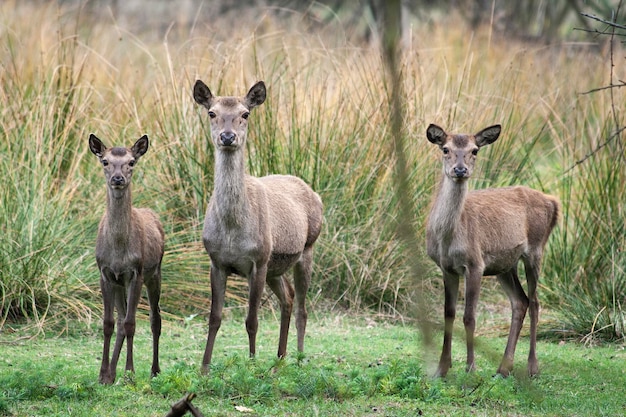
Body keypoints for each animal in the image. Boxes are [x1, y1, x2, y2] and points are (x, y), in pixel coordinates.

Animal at [89, 133, 166, 384]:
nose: (118, 178)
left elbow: (132, 323)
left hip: (155, 273)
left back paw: (154, 370)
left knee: (155, 320)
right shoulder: (105, 273)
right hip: (119, 282)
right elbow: (109, 324)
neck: (119, 251)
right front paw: (103, 374)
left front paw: (130, 373)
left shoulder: (136, 273)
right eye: (105, 161)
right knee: (121, 321)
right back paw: (112, 373)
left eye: (131, 162)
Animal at [193, 79, 324, 372]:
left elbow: (251, 320)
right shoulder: (216, 261)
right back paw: (280, 357)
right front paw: (204, 368)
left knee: (302, 308)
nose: (227, 137)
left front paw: (252, 364)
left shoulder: (258, 260)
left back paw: (299, 358)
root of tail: (314, 193)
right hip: (277, 266)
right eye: (212, 113)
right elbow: (214, 318)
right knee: (288, 298)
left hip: (306, 249)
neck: (233, 230)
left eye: (245, 114)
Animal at [424, 123, 556, 376]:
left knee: (535, 302)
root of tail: (554, 202)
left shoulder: (475, 263)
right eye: (445, 149)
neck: (447, 239)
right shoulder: (446, 268)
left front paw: (470, 368)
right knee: (520, 301)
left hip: (535, 250)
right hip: (504, 265)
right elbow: (448, 314)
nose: (460, 170)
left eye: (474, 150)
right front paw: (441, 369)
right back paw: (504, 367)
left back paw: (532, 366)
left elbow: (469, 317)